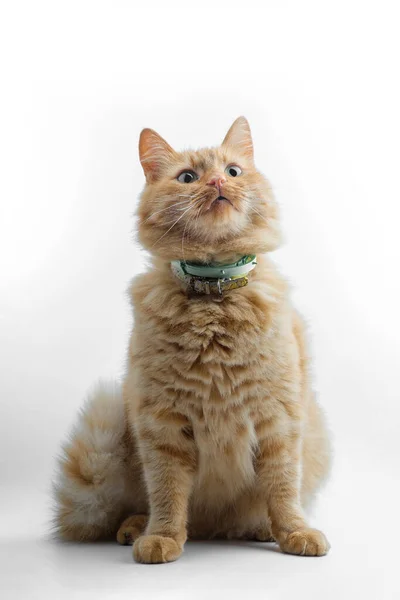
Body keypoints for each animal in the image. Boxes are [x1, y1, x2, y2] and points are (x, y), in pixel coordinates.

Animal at [54, 116, 332, 564]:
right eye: (187, 177)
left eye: (233, 171)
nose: (217, 181)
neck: (214, 295)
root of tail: (213, 529)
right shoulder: (161, 425)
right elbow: (167, 494)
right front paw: (162, 537)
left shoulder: (280, 420)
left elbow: (283, 489)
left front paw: (293, 532)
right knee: (147, 507)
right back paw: (136, 527)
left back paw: (259, 528)